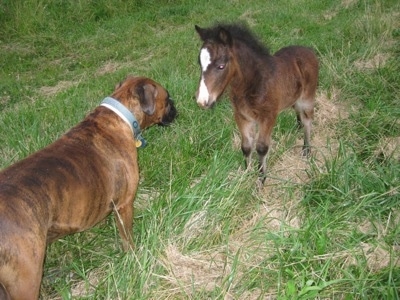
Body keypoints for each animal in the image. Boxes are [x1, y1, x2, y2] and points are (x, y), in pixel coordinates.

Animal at [0, 75, 177, 298]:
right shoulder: (124, 205)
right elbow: (127, 237)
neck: (120, 117)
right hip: (26, 280)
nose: (176, 107)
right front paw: (133, 256)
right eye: (167, 97)